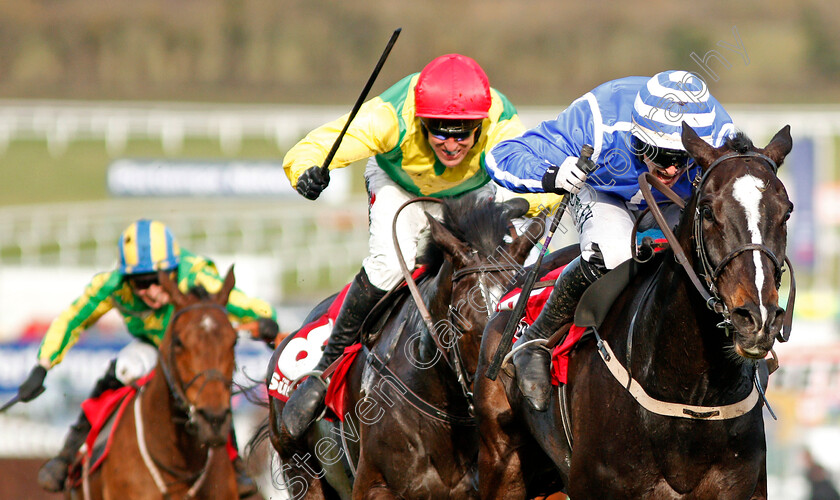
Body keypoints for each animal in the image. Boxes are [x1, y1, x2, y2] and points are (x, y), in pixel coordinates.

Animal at [472, 123, 796, 498]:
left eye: (786, 211)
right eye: (708, 210)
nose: (757, 318)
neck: (693, 395)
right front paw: (563, 174)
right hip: (502, 461)